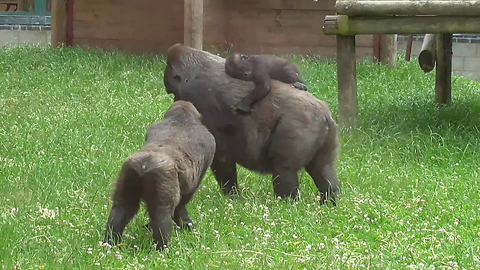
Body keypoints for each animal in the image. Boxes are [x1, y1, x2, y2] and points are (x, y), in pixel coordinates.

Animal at [105, 100, 218, 251]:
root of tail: (145, 163)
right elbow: (184, 200)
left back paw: (110, 242)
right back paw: (162, 248)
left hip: (128, 171)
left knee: (121, 207)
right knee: (161, 214)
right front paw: (185, 223)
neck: (181, 118)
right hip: (162, 178)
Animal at [163, 43, 340, 205]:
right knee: (323, 169)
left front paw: (232, 196)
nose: (175, 100)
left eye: (173, 92)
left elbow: (221, 156)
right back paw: (329, 201)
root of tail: (325, 114)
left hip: (300, 123)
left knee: (285, 169)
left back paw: (285, 204)